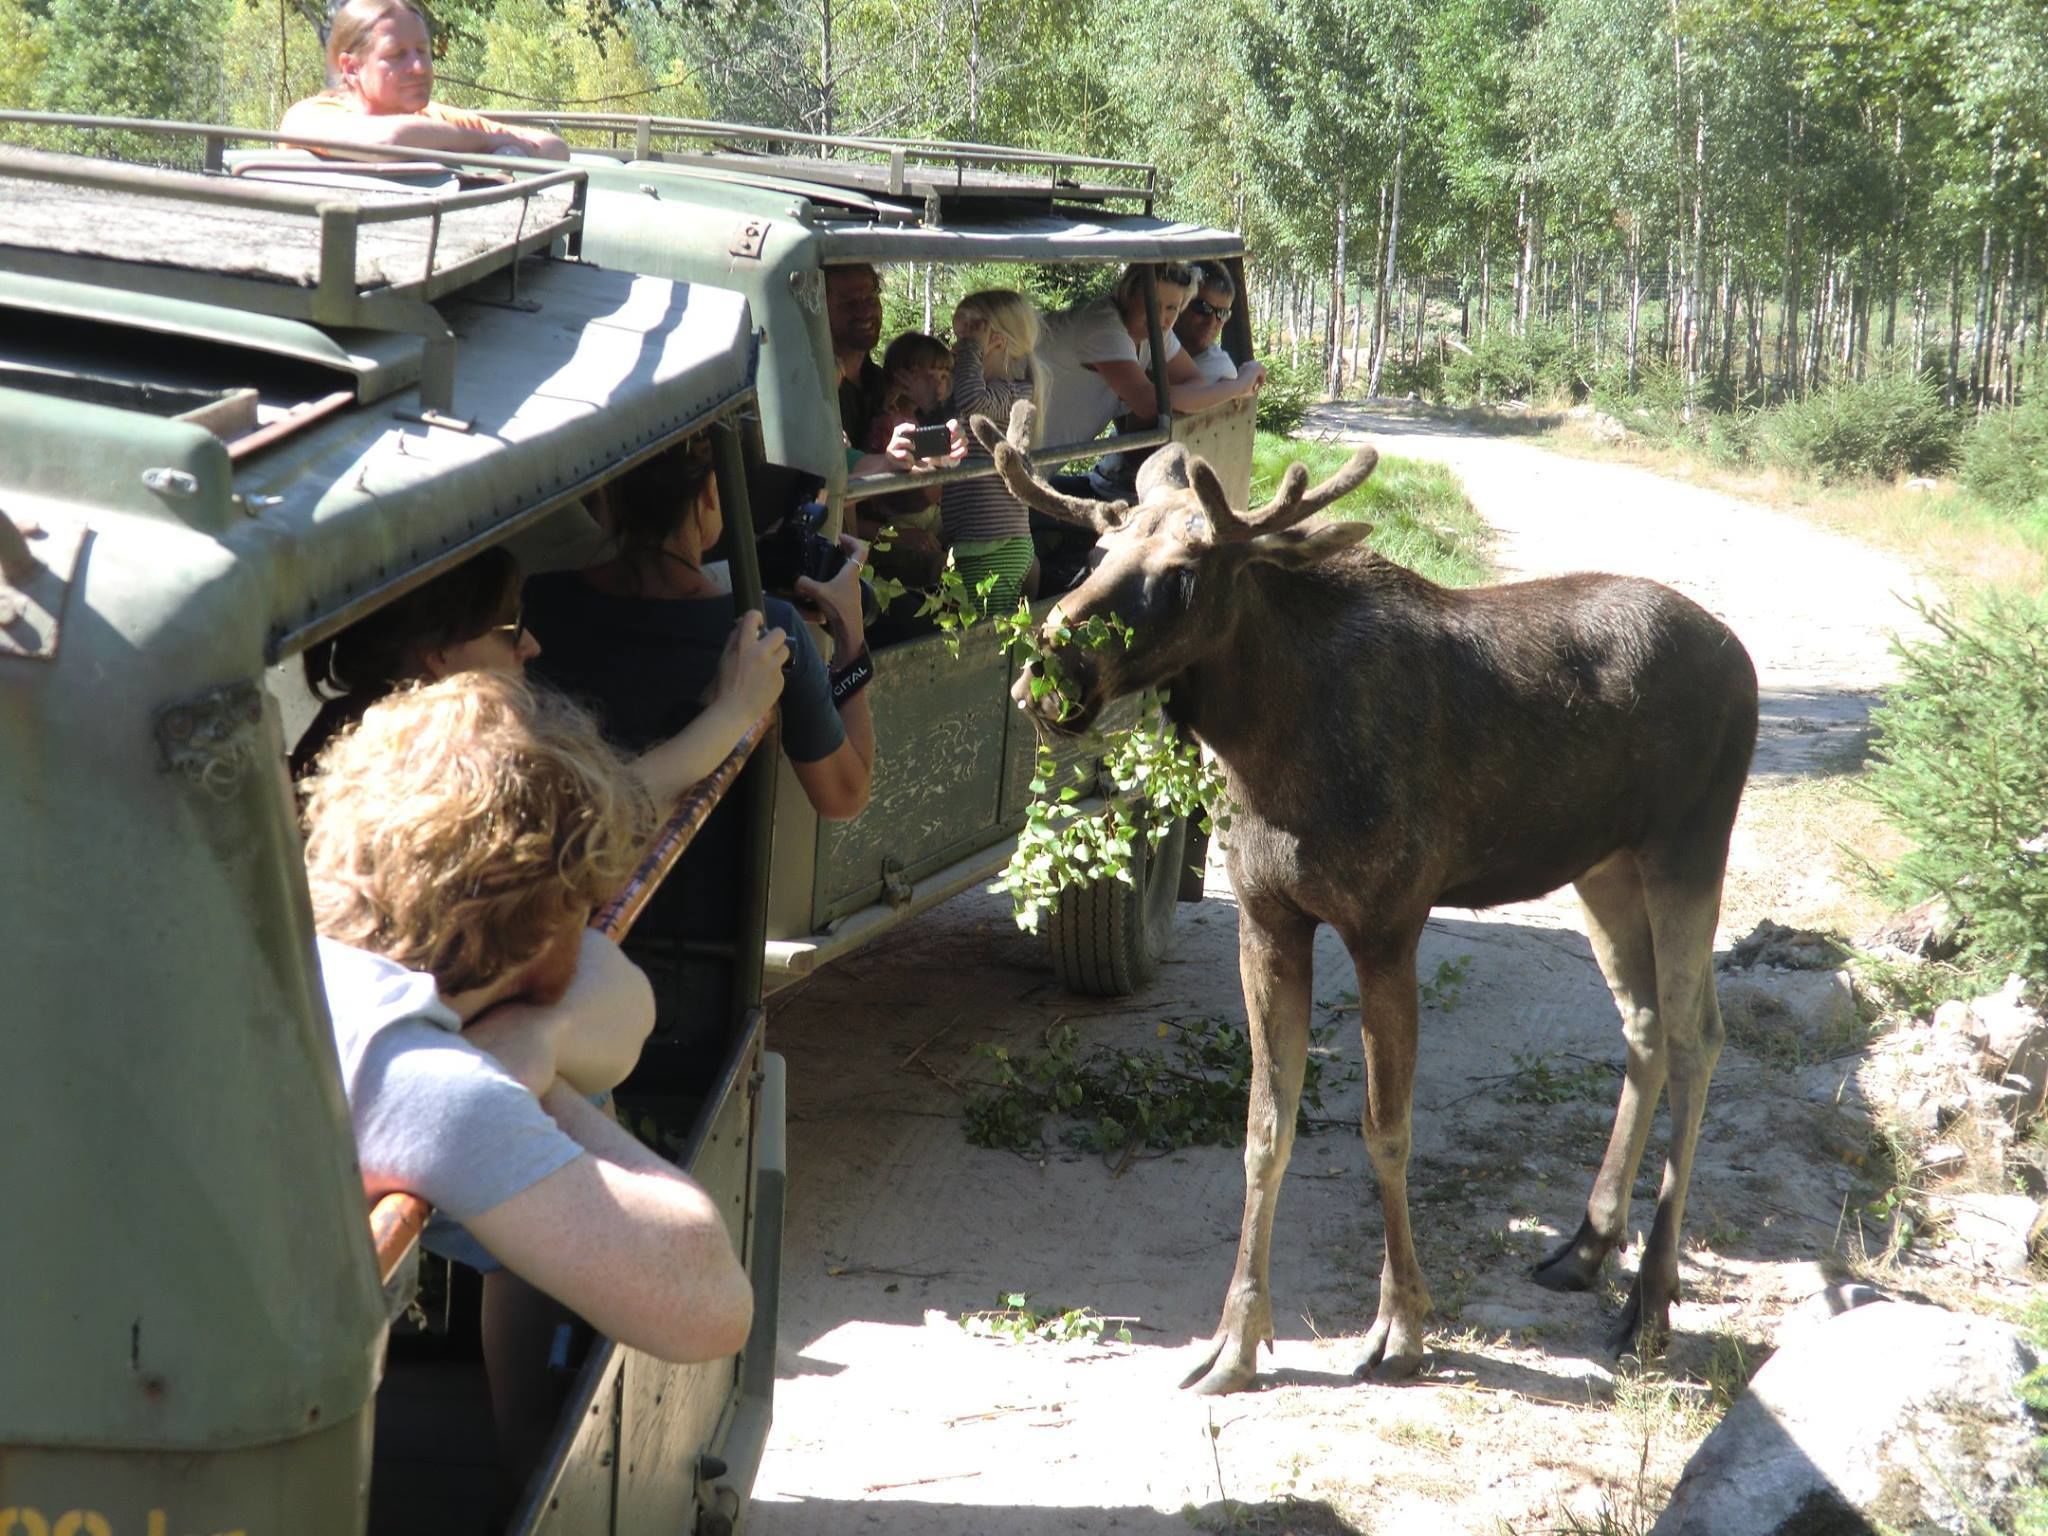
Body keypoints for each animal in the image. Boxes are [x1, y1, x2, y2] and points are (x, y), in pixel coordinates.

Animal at [971, 405, 1759, 1395]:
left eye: (1185, 574)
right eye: (1098, 553)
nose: (1047, 674)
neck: (1266, 749)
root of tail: (1746, 662)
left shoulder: (1389, 924)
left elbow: (1387, 1130)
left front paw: (1401, 1329)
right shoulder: (1268, 919)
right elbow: (1264, 1129)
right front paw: (1236, 1341)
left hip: (1689, 847)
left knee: (1700, 1035)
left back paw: (1650, 1302)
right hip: (1602, 866)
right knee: (1646, 1022)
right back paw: (1587, 1247)